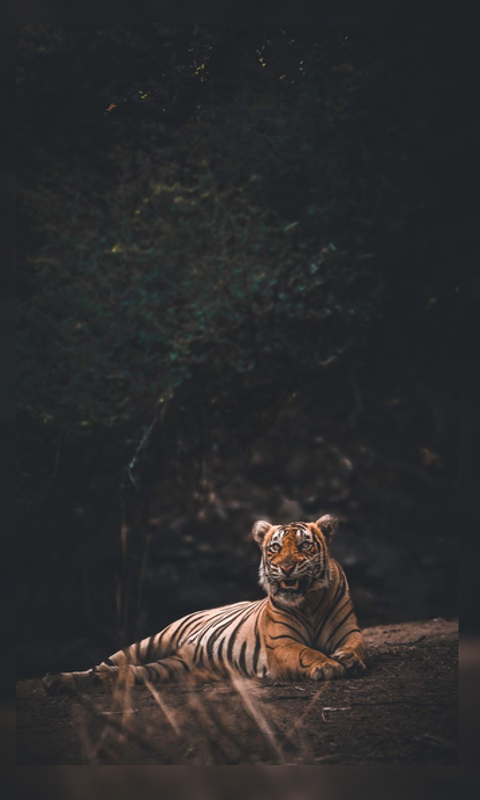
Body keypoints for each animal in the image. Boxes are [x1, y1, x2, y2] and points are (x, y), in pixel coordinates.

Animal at [43, 515, 367, 694]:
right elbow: (305, 652)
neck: (309, 603)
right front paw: (328, 665)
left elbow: (356, 644)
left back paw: (97, 680)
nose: (286, 567)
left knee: (131, 672)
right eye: (275, 548)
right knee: (106, 662)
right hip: (152, 640)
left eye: (304, 545)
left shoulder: (349, 631)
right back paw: (61, 680)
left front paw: (348, 659)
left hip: (171, 667)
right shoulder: (281, 644)